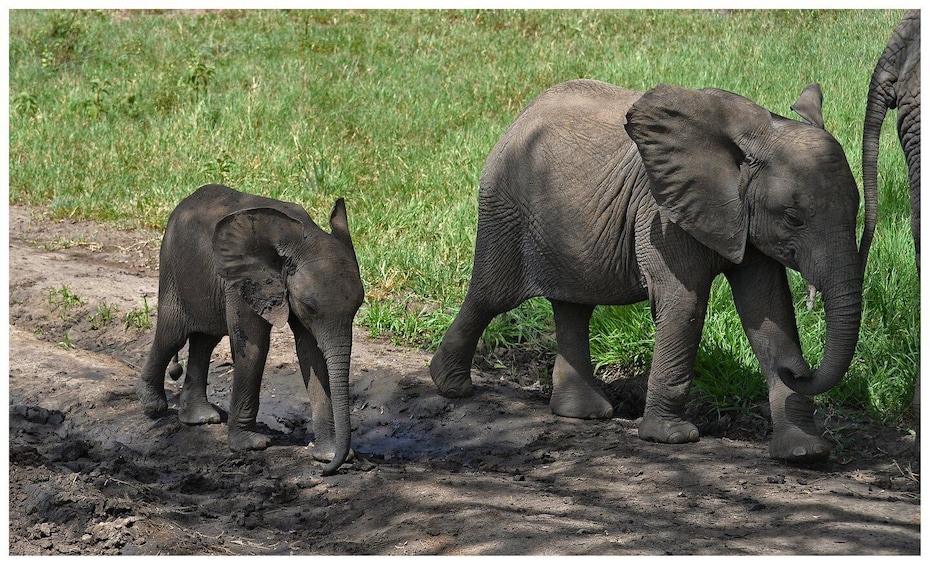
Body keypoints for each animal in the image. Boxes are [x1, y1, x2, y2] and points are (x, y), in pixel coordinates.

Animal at [138, 183, 362, 474]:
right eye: (310, 307)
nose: (325, 471)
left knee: (205, 340)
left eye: (359, 305)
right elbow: (254, 347)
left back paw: (200, 418)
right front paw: (251, 445)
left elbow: (311, 355)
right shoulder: (243, 281)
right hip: (173, 267)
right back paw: (153, 408)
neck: (303, 238)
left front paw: (328, 454)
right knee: (172, 334)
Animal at [432, 80, 872, 462]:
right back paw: (451, 386)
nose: (797, 369)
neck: (756, 138)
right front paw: (672, 439)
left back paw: (583, 413)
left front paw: (805, 453)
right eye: (794, 218)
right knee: (493, 294)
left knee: (575, 305)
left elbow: (769, 313)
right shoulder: (662, 217)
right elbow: (684, 305)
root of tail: (521, 113)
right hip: (504, 203)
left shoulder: (745, 221)